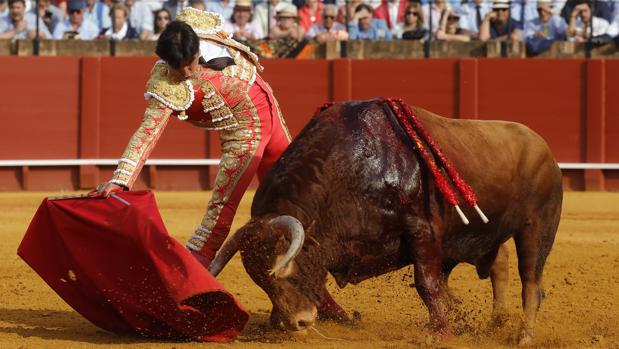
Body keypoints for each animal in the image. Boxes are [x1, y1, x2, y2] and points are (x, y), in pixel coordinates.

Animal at [207, 98, 560, 346]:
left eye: (287, 271)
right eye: (260, 281)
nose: (296, 323)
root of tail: (542, 146)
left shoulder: (421, 230)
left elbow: (426, 283)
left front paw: (441, 332)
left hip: (536, 228)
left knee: (531, 281)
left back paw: (523, 335)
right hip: (481, 234)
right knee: (498, 262)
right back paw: (495, 322)